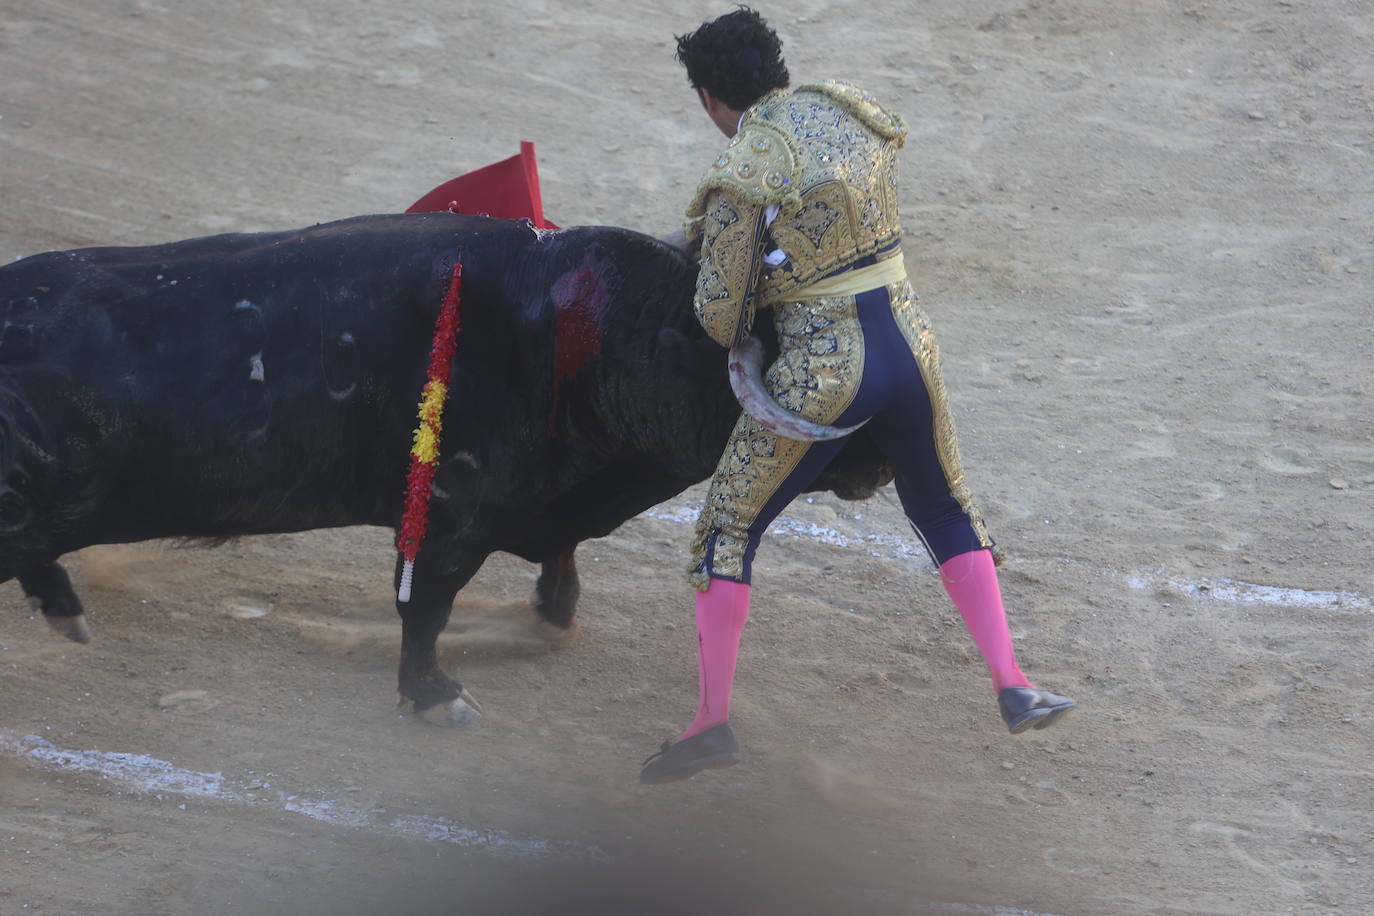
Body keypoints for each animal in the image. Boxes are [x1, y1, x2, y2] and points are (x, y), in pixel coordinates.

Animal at [2, 215, 890, 725]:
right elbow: (426, 606)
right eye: (807, 362)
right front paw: (435, 695)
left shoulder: (543, 505)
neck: (599, 340)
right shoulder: (452, 514)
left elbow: (560, 561)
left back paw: (66, 612)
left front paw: (551, 612)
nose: (883, 458)